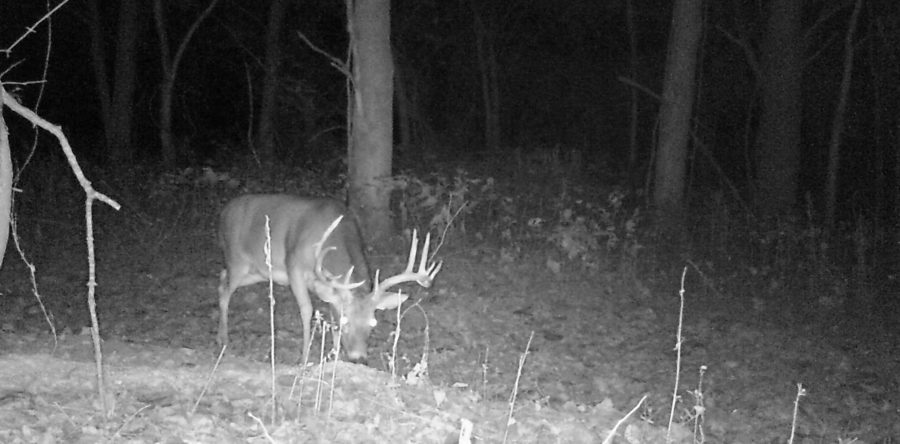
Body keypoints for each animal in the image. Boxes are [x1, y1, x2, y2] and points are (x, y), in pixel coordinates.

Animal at [216, 194, 441, 365]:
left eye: (373, 322)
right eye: (346, 321)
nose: (358, 358)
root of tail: (225, 210)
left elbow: (330, 314)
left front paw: (335, 356)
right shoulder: (293, 266)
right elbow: (307, 310)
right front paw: (305, 358)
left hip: (256, 272)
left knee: (221, 279)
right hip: (237, 260)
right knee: (225, 291)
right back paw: (224, 340)